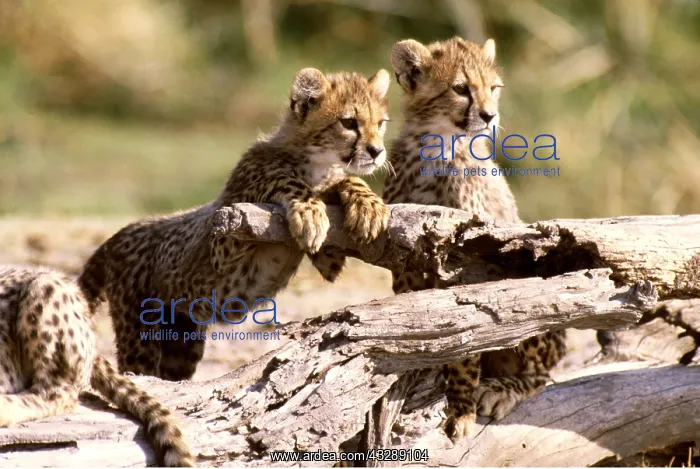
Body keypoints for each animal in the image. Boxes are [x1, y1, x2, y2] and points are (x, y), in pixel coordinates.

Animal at [78, 67, 392, 381]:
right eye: (348, 122)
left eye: (380, 123)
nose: (376, 151)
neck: (314, 162)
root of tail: (120, 234)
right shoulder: (223, 237)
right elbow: (280, 175)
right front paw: (309, 209)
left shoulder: (328, 258)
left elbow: (345, 181)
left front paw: (368, 206)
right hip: (141, 333)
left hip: (180, 340)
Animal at [382, 36, 567, 438]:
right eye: (461, 89)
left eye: (493, 88)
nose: (489, 116)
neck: (438, 148)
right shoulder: (404, 260)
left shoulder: (469, 263)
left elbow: (466, 346)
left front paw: (461, 407)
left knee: (542, 375)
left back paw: (502, 389)